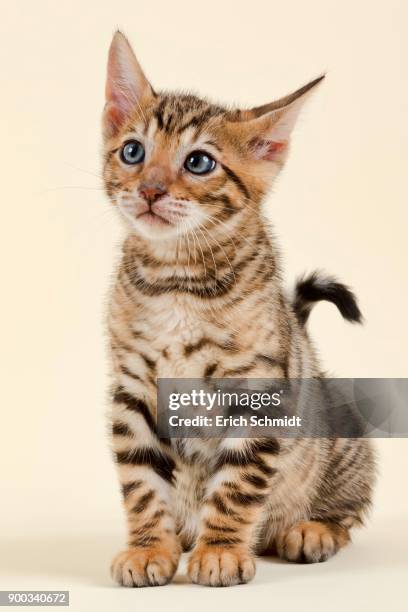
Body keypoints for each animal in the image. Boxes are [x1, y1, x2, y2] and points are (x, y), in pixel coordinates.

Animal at [103, 32, 376, 588]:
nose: (150, 189)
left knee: (345, 505)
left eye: (198, 162)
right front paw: (148, 548)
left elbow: (236, 485)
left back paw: (310, 529)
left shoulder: (257, 389)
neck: (177, 281)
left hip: (341, 437)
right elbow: (141, 481)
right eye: (133, 151)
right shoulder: (132, 389)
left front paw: (222, 550)